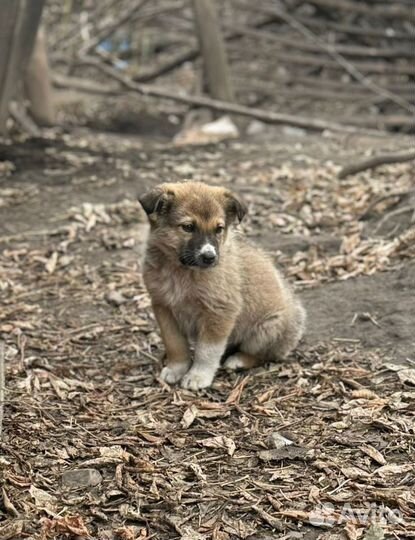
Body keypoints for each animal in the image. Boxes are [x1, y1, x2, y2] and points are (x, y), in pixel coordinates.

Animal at [140, 181, 306, 388]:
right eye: (188, 227)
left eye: (219, 229)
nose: (210, 257)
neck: (182, 272)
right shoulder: (163, 307)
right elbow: (174, 344)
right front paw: (176, 369)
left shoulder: (219, 312)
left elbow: (206, 351)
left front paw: (198, 376)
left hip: (267, 328)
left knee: (265, 355)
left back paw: (238, 360)